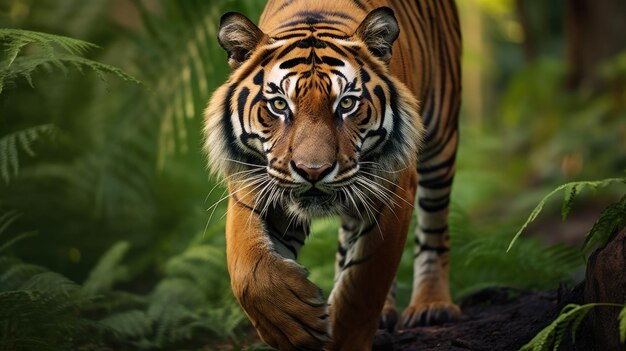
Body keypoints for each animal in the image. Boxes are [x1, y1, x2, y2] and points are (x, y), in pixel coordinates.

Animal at [202, 0, 460, 350]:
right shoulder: (252, 184)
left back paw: (431, 306)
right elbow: (248, 269)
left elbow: (363, 281)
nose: (314, 171)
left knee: (434, 228)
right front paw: (292, 320)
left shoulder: (395, 186)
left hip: (440, 140)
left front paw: (341, 337)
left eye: (347, 103)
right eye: (279, 105)